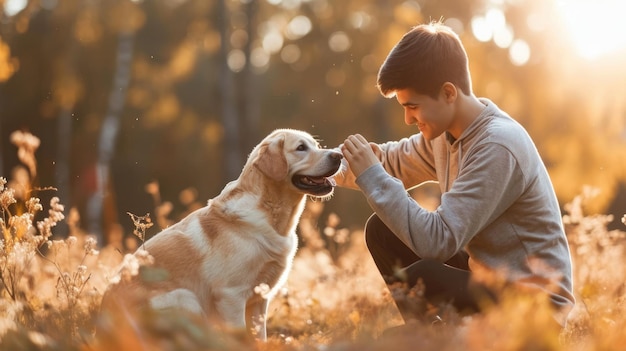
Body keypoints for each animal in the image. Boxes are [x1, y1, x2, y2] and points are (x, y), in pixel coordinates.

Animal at [98, 129, 342, 340]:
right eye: (301, 148)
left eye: (316, 145)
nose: (338, 155)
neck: (271, 215)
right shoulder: (231, 296)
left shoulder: (259, 299)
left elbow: (259, 338)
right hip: (186, 298)